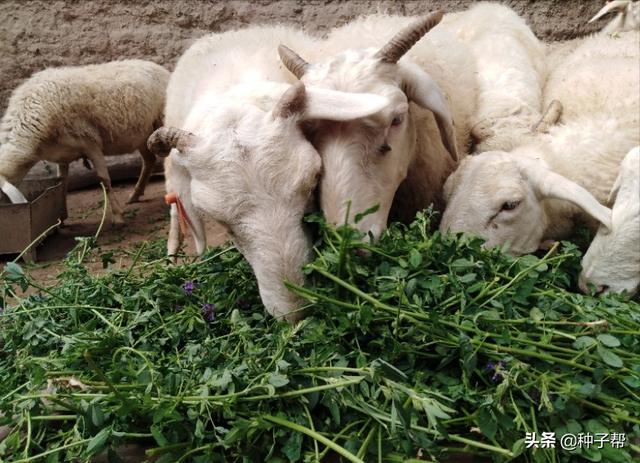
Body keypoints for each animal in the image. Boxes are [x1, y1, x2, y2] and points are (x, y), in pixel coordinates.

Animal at [0, 59, 170, 227]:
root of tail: (157, 66)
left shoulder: (91, 143)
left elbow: (105, 181)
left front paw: (118, 217)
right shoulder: (62, 155)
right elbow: (62, 184)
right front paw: (61, 218)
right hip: (143, 135)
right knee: (149, 160)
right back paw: (135, 194)